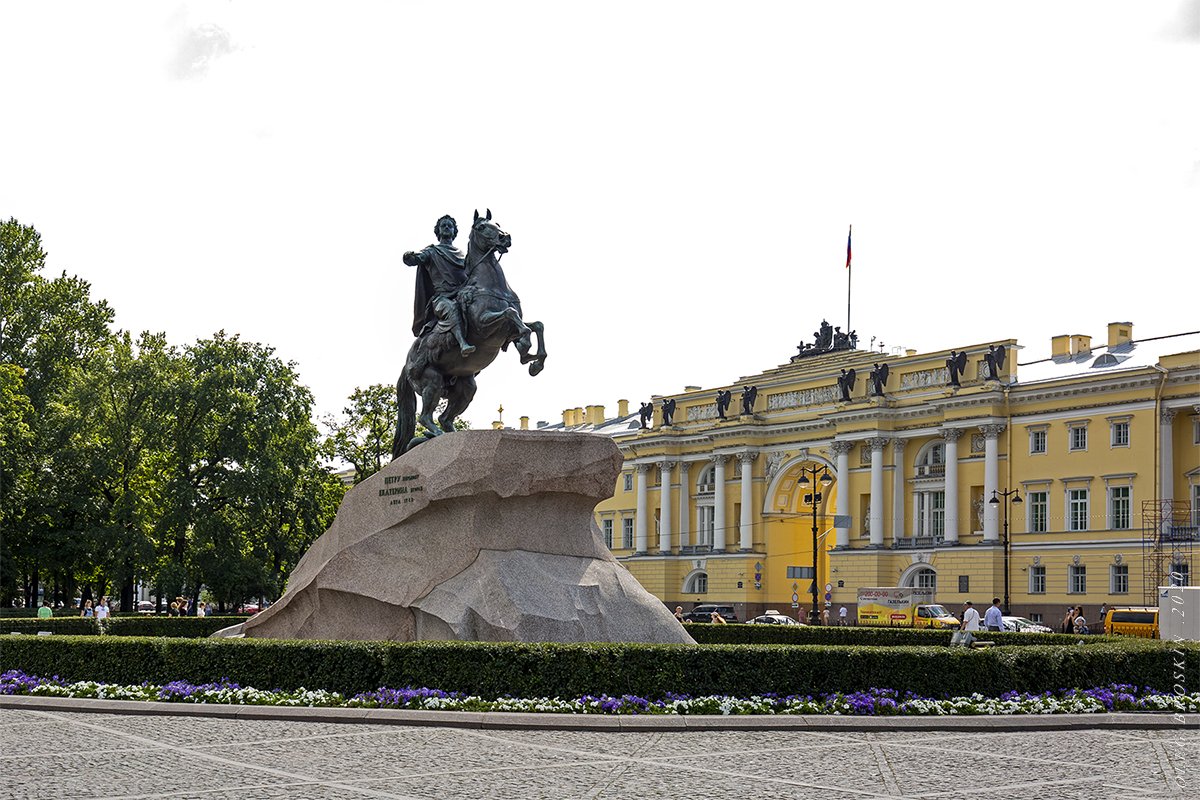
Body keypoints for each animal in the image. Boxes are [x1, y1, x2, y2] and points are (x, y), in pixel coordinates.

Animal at [391, 209, 547, 455]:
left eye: (497, 223)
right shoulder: (485, 326)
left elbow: (537, 324)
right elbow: (511, 314)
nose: (505, 238)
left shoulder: (507, 333)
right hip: (432, 382)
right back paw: (434, 436)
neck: (489, 286)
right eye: (482, 227)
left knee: (445, 418)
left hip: (465, 389)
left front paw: (533, 361)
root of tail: (405, 366)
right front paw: (527, 347)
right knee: (425, 417)